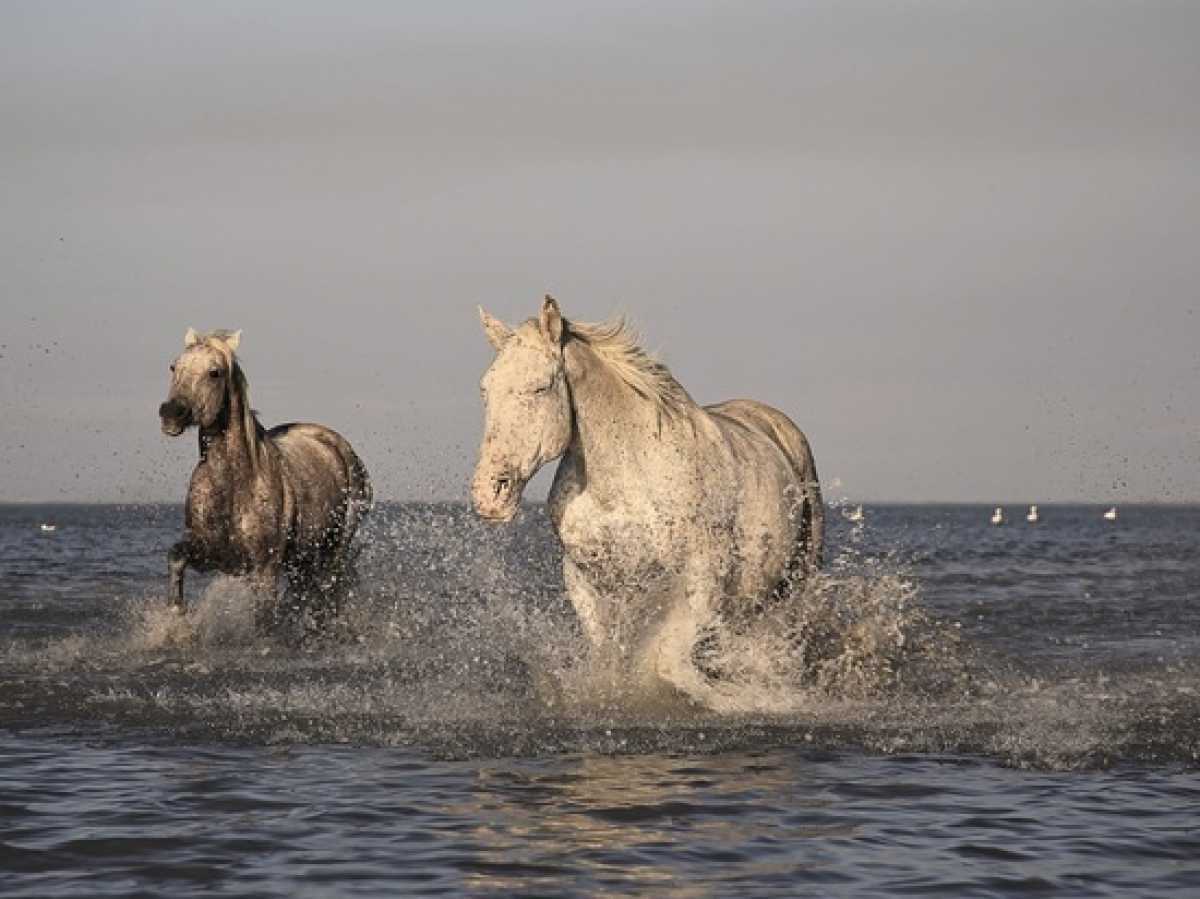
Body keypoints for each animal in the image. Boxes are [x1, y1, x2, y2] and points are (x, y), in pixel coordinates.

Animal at [158, 328, 369, 628]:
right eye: (174, 366)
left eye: (214, 372)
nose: (171, 414)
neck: (234, 486)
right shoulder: (209, 552)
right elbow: (176, 556)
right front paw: (176, 615)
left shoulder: (265, 569)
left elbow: (265, 619)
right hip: (301, 561)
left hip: (333, 549)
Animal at [472, 294, 820, 700]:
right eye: (485, 390)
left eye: (540, 387)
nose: (488, 494)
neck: (625, 485)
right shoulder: (587, 580)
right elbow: (608, 657)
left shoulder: (702, 577)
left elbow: (670, 664)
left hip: (796, 580)